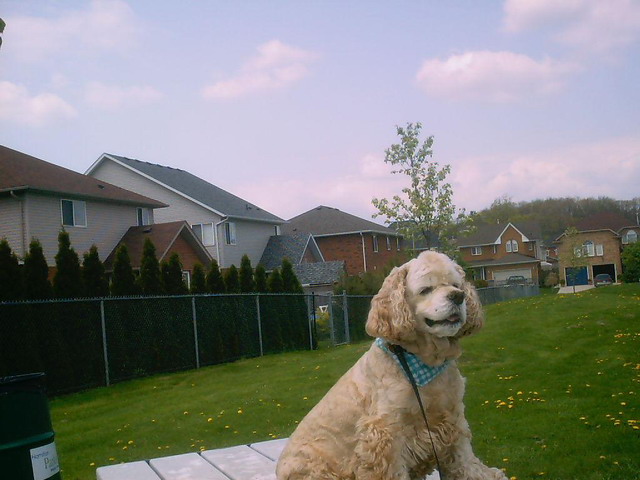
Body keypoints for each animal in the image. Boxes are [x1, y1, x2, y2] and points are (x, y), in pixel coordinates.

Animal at [276, 251, 508, 480]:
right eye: (426, 289)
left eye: (457, 285)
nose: (458, 296)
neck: (424, 363)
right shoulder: (386, 432)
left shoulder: (452, 416)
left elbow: (463, 456)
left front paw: (481, 473)